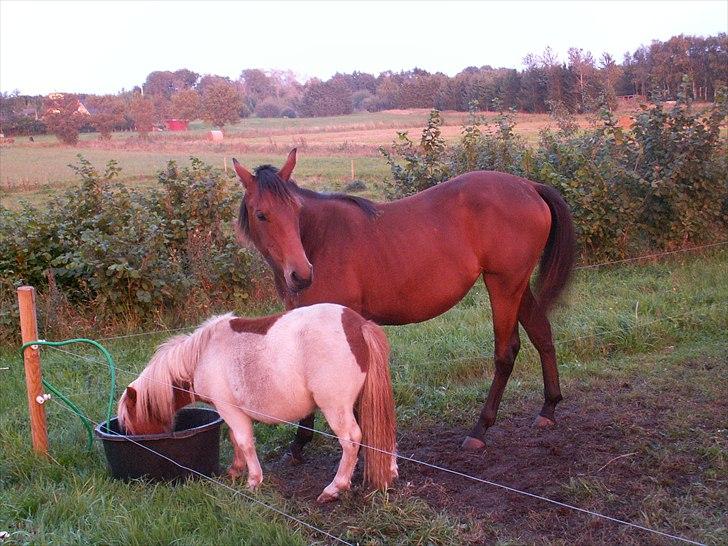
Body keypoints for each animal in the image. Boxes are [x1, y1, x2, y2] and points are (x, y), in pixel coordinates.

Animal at [117, 304, 398, 500]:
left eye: (130, 427)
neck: (202, 355)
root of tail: (358, 325)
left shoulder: (229, 410)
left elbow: (244, 442)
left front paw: (253, 480)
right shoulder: (231, 412)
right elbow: (234, 439)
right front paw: (235, 471)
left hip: (335, 408)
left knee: (351, 440)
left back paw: (335, 488)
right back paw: (390, 470)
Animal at [232, 148, 576, 450]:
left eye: (297, 210)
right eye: (262, 215)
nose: (302, 275)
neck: (319, 240)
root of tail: (529, 186)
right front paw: (301, 442)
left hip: (503, 284)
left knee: (506, 352)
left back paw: (480, 429)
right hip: (516, 285)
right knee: (542, 333)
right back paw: (549, 407)